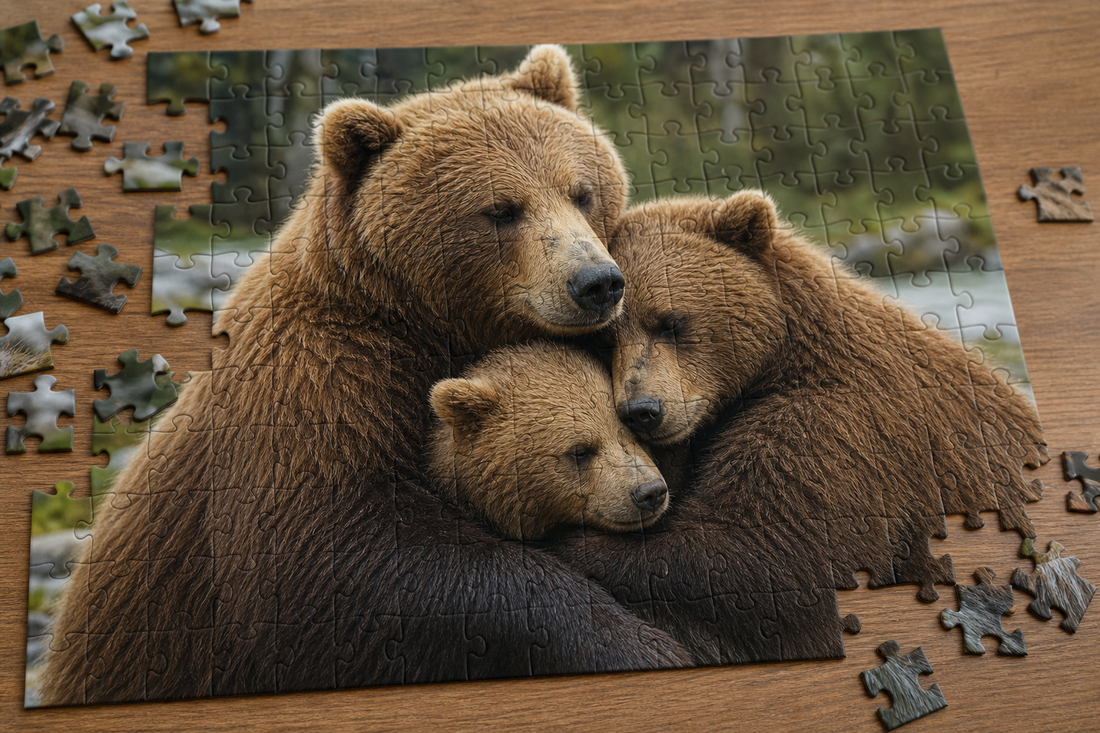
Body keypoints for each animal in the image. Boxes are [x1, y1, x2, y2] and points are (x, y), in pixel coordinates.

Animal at [547, 191, 1049, 665]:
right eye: (604, 340)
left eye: (670, 322)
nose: (641, 410)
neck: (781, 361)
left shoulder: (839, 431)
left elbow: (763, 558)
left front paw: (577, 542)